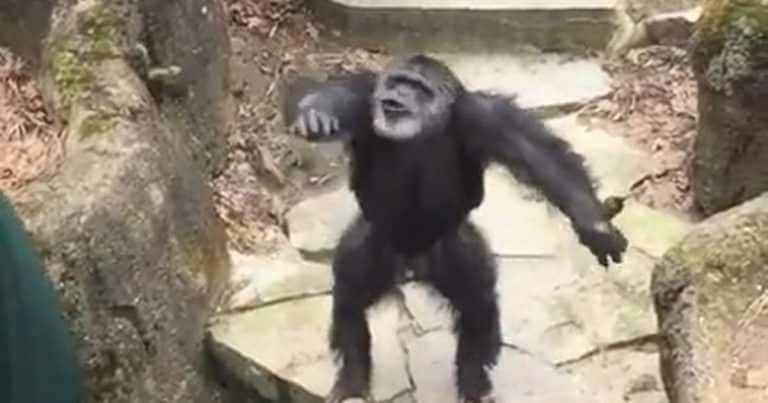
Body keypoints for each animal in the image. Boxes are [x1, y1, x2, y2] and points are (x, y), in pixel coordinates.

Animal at [281, 54, 628, 403]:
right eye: (396, 81)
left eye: (417, 87)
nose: (396, 96)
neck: (422, 128)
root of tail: (411, 266)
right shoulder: (364, 96)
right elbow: (335, 96)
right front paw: (315, 113)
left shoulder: (487, 118)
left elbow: (538, 155)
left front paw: (595, 226)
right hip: (374, 243)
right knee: (350, 297)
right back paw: (352, 381)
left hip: (456, 249)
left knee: (478, 305)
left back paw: (474, 384)